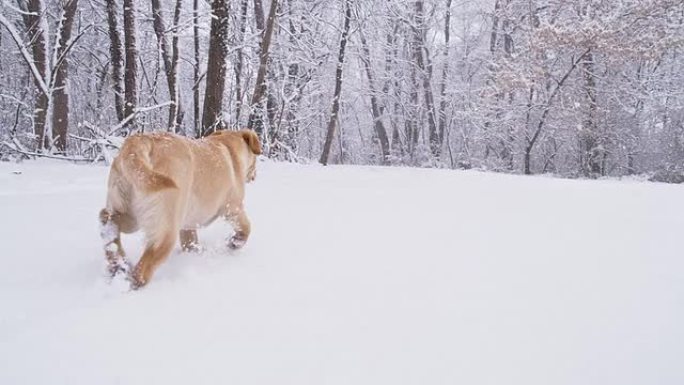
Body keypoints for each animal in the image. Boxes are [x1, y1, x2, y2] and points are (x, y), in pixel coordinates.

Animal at [99, 129, 262, 288]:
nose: (255, 176)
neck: (229, 146)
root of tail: (141, 141)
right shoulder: (232, 208)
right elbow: (246, 227)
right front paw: (234, 243)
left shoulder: (187, 226)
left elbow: (190, 242)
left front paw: (197, 252)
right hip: (166, 229)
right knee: (142, 268)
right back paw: (130, 279)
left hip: (129, 213)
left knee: (107, 220)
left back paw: (117, 264)